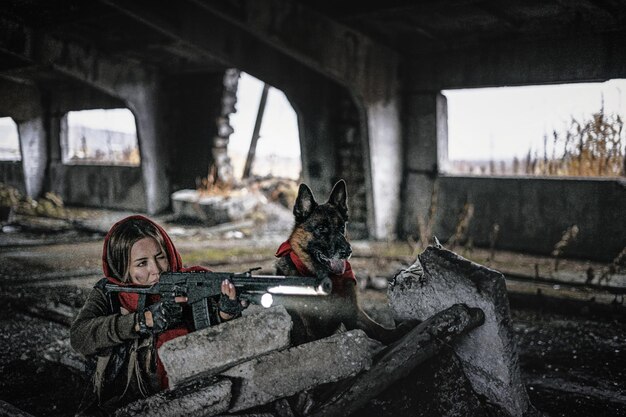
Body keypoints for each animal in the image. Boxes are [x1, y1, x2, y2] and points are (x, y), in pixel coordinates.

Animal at [274, 180, 404, 344]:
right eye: (321, 228)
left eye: (342, 227)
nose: (347, 251)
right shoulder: (308, 327)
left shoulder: (352, 313)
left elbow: (378, 329)